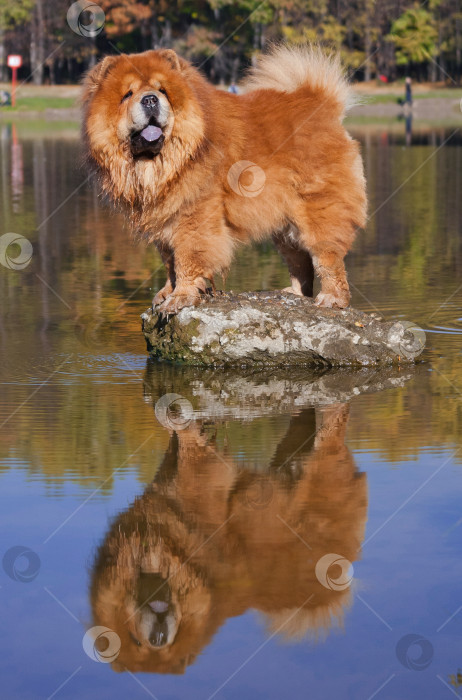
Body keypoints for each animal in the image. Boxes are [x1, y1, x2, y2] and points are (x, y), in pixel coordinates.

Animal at [81, 45, 366, 314]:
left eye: (162, 91)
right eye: (127, 94)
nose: (150, 99)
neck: (163, 163)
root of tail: (322, 104)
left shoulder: (194, 217)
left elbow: (187, 259)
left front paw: (180, 298)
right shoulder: (163, 218)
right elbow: (170, 262)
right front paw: (165, 293)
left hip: (317, 211)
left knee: (327, 258)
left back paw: (332, 299)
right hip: (284, 226)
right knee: (300, 261)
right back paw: (293, 294)